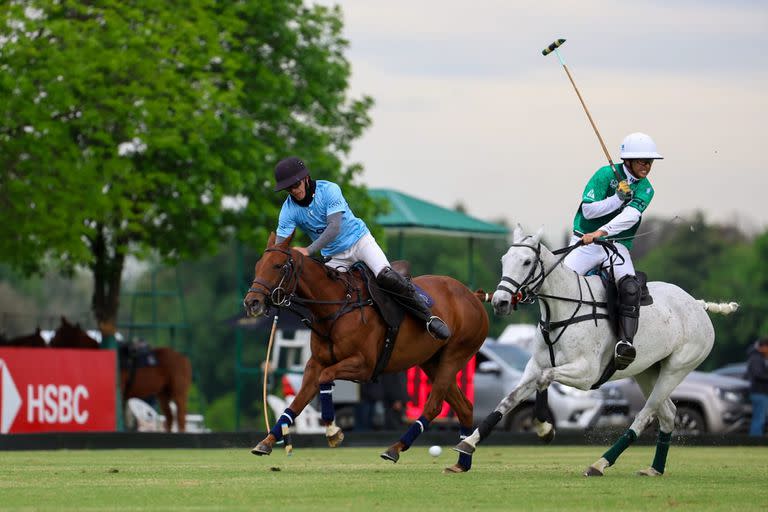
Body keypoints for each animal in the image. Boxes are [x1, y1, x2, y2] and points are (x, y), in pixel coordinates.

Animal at [50, 316, 192, 432]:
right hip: (162, 393)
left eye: (58, 333)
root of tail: (183, 358)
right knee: (169, 417)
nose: (48, 345)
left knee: (180, 416)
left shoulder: (119, 391)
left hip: (178, 391)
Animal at [243, 232, 488, 472]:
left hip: (455, 355)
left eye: (277, 266)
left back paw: (395, 448)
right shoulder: (316, 363)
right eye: (257, 265)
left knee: (434, 405)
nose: (252, 302)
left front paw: (332, 431)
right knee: (464, 407)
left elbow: (326, 378)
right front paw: (266, 442)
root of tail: (472, 296)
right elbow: (296, 403)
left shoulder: (364, 365)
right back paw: (462, 461)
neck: (335, 307)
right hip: (431, 361)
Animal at [456, 228, 736, 476]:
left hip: (677, 368)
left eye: (526, 262)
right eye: (504, 259)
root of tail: (697, 304)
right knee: (667, 414)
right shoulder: (534, 365)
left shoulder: (586, 373)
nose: (500, 302)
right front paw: (467, 446)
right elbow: (510, 399)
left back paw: (600, 463)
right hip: (647, 370)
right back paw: (654, 469)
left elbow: (545, 379)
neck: (559, 311)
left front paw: (545, 428)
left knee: (645, 414)